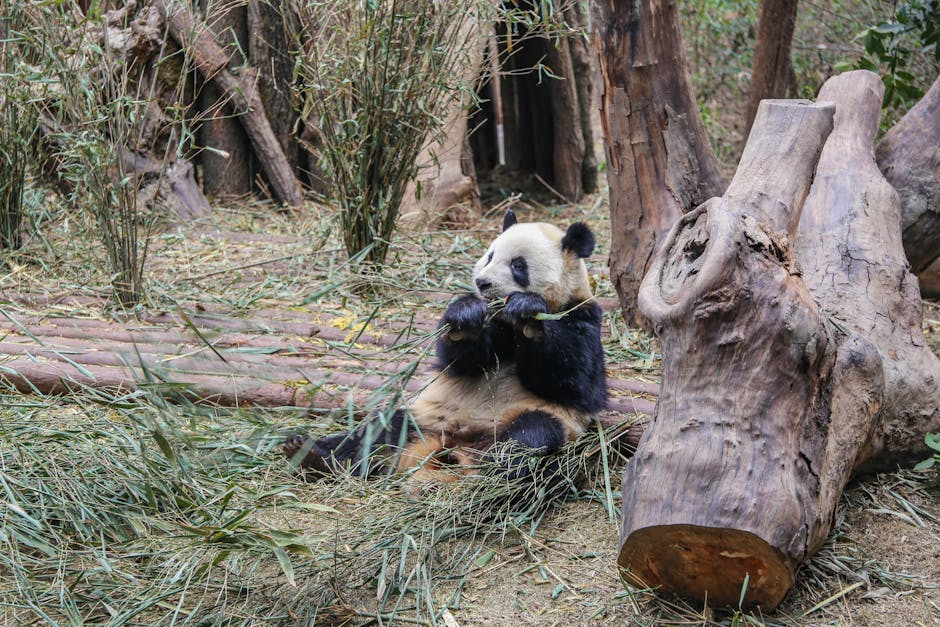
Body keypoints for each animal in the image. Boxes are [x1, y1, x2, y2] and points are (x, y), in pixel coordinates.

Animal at [283, 209, 607, 491]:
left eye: (518, 265)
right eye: (490, 256)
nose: (482, 282)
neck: (503, 318)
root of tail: (454, 444)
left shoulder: (582, 318)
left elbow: (572, 380)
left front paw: (528, 313)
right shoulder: (491, 327)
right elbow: (461, 361)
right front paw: (465, 316)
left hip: (531, 419)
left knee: (528, 437)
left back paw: (491, 472)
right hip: (428, 418)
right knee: (380, 429)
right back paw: (310, 454)